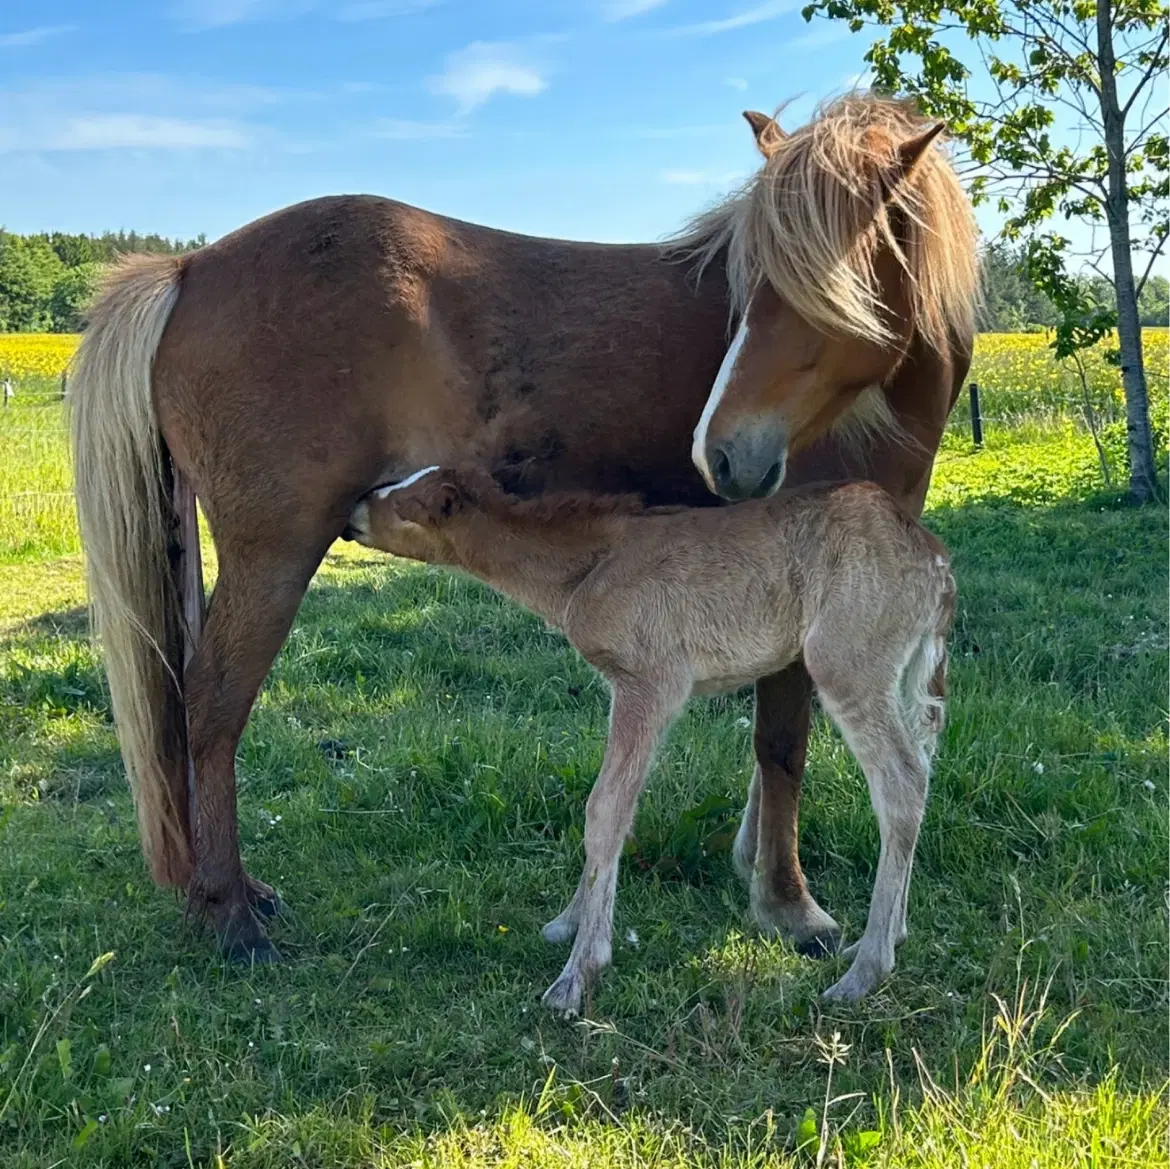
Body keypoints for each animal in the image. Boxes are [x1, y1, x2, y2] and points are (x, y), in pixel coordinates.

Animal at [343, 468, 950, 1015]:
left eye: (401, 504)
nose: (352, 510)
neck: (586, 568)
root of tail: (934, 560)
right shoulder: (632, 688)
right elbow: (619, 807)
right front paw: (569, 922)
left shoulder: (650, 682)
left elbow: (604, 810)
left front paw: (579, 973)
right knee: (922, 763)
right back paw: (890, 934)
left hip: (849, 660)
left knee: (901, 781)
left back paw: (865, 969)